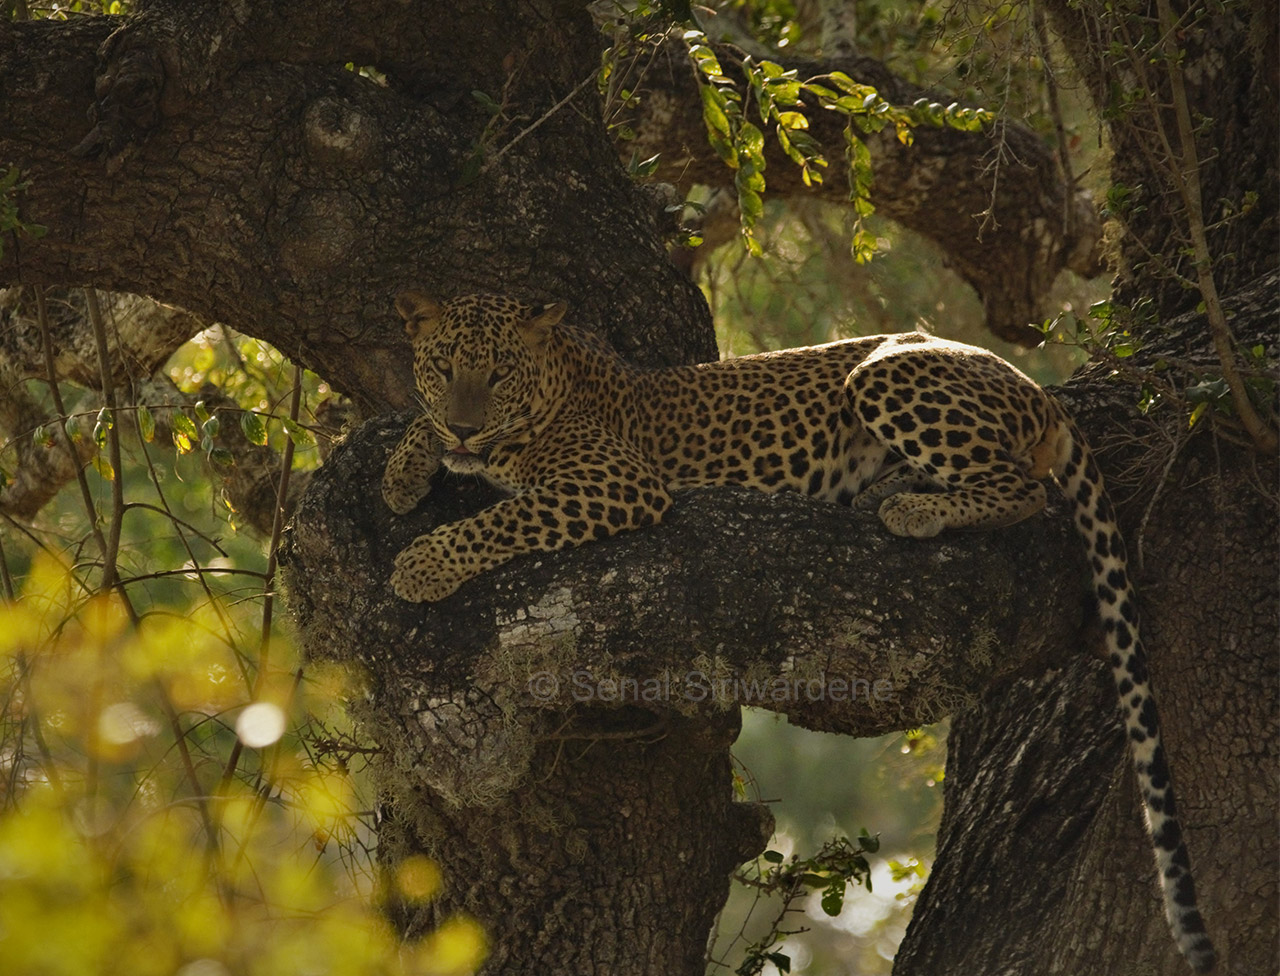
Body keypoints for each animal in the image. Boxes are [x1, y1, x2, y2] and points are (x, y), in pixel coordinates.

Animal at [381, 289, 1218, 973]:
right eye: (445, 365)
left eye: (498, 374)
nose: (466, 425)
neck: (554, 385)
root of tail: (1034, 385)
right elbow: (421, 427)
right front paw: (403, 470)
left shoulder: (616, 481)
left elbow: (505, 517)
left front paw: (420, 562)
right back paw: (890, 488)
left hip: (888, 376)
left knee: (1022, 486)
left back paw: (912, 508)